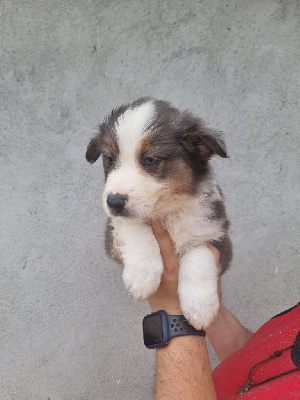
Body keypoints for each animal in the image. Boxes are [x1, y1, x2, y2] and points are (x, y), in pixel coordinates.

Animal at [86, 97, 232, 328]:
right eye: (109, 159)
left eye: (150, 160)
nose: (113, 202)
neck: (167, 211)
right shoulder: (112, 233)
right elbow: (137, 228)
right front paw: (141, 276)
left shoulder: (216, 230)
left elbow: (198, 253)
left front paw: (200, 307)